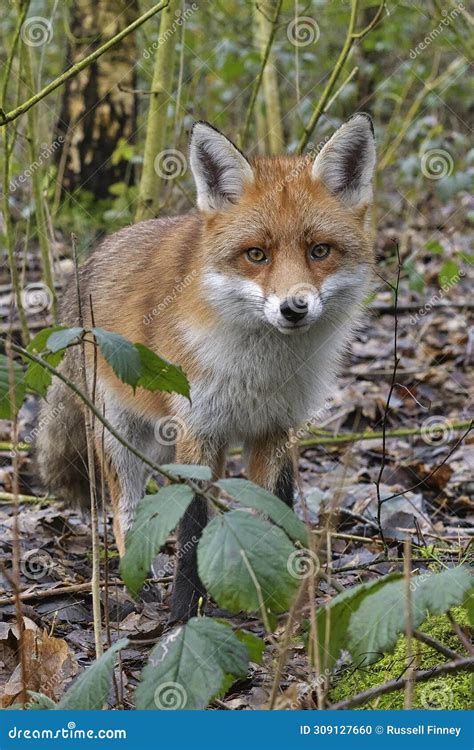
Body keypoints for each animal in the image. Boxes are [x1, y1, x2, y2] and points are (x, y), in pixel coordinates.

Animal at [37, 114, 377, 622]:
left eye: (319, 251)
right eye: (256, 254)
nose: (293, 308)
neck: (260, 370)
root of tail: (94, 254)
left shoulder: (276, 429)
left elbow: (270, 509)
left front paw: (269, 601)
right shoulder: (196, 428)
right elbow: (192, 526)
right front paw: (183, 616)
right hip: (120, 435)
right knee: (123, 512)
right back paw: (138, 589)